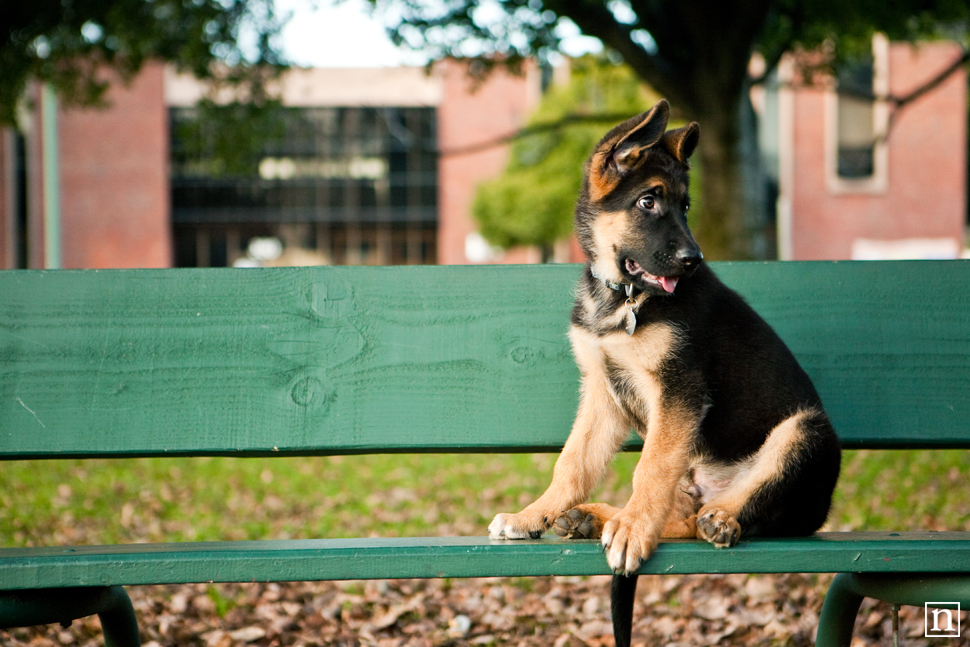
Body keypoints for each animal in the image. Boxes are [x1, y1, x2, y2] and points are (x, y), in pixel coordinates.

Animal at [488, 100, 836, 647]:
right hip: (691, 472)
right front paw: (534, 515)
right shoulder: (603, 394)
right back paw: (593, 519)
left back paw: (711, 522)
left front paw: (631, 533)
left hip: (805, 431)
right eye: (649, 202)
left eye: (687, 208)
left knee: (712, 515)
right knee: (680, 514)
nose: (693, 261)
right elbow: (573, 462)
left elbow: (648, 469)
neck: (623, 298)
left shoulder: (679, 392)